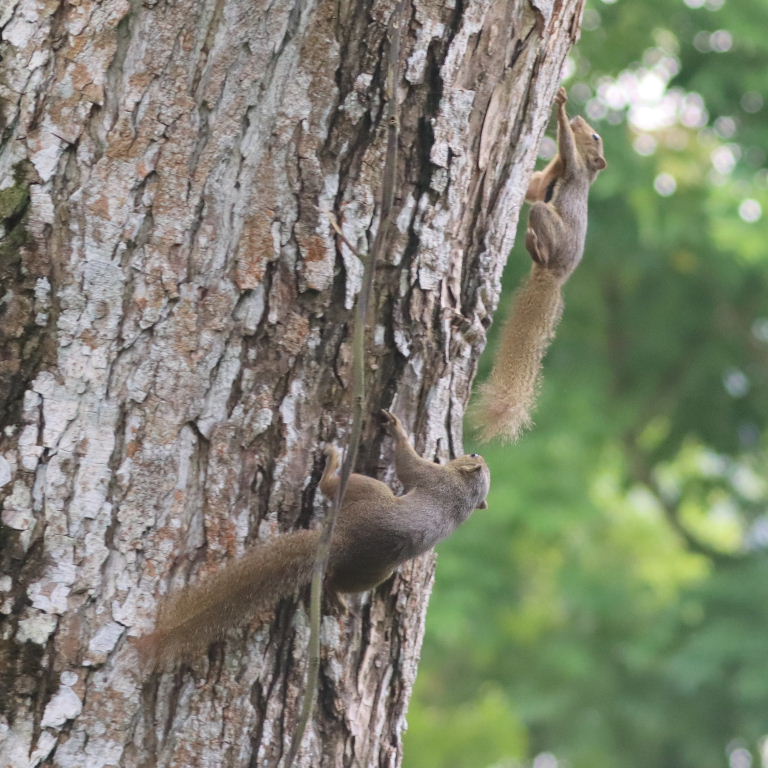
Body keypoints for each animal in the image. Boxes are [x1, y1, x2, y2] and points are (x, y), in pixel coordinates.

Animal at [138, 410, 490, 664]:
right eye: (476, 455)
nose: (476, 453)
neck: (465, 495)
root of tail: (342, 540)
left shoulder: (432, 476)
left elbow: (407, 463)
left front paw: (396, 428)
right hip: (371, 572)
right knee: (340, 582)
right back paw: (337, 598)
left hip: (366, 492)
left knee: (330, 487)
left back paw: (331, 463)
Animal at [475, 87, 606, 443]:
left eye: (595, 136)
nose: (579, 119)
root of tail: (555, 276)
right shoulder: (547, 177)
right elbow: (533, 188)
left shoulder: (572, 166)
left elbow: (565, 145)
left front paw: (560, 106)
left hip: (549, 222)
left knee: (539, 218)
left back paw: (537, 247)